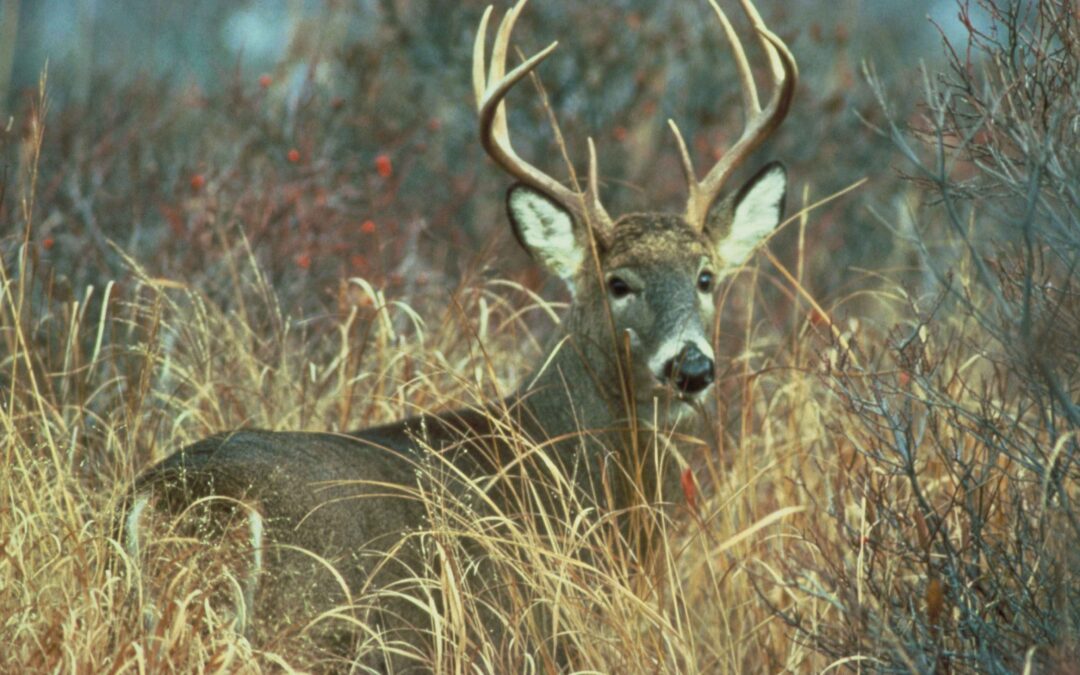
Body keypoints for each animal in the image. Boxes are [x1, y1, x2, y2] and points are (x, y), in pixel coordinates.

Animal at [124, 0, 796, 670]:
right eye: (618, 283)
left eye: (705, 276)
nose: (692, 368)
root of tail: (182, 501)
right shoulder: (532, 635)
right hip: (308, 629)